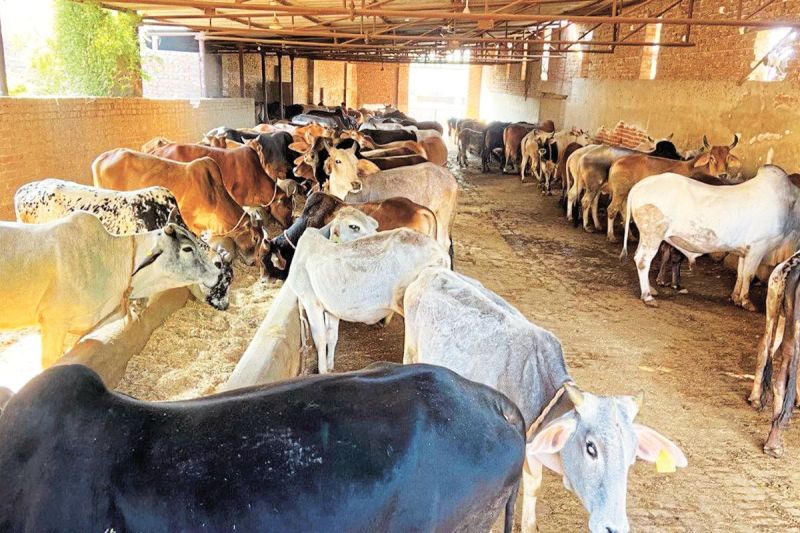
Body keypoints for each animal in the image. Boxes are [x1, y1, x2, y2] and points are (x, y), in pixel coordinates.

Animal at [287, 227, 449, 373]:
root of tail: (442, 254)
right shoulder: (331, 310)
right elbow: (331, 337)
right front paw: (330, 366)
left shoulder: (310, 302)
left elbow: (320, 340)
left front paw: (322, 371)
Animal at [403, 267, 687, 533]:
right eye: (591, 448)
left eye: (632, 455)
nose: (612, 527)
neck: (542, 389)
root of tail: (432, 271)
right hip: (411, 349)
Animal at [605, 135, 742, 241]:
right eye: (712, 157)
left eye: (728, 158)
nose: (722, 175)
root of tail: (618, 161)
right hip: (620, 191)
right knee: (612, 209)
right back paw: (611, 236)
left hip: (627, 193)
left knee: (624, 212)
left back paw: (631, 236)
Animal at [621, 165, 800, 310]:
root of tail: (640, 185)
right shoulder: (758, 248)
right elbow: (748, 275)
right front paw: (746, 301)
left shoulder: (744, 251)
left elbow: (741, 274)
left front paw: (735, 297)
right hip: (653, 235)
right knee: (643, 260)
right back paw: (647, 296)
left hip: (646, 236)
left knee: (638, 256)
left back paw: (651, 289)